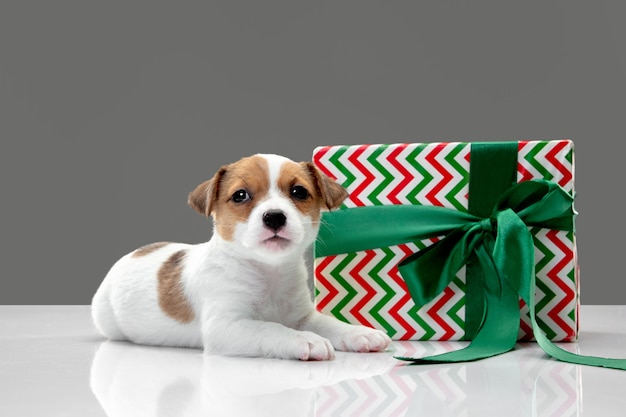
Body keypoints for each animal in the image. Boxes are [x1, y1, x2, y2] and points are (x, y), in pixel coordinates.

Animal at [91, 154, 390, 360]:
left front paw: (358, 332)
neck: (268, 273)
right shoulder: (226, 327)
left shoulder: (303, 315)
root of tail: (135, 252)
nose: (274, 216)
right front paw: (304, 340)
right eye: (240, 195)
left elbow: (329, 323)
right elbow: (271, 329)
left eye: (298, 191)